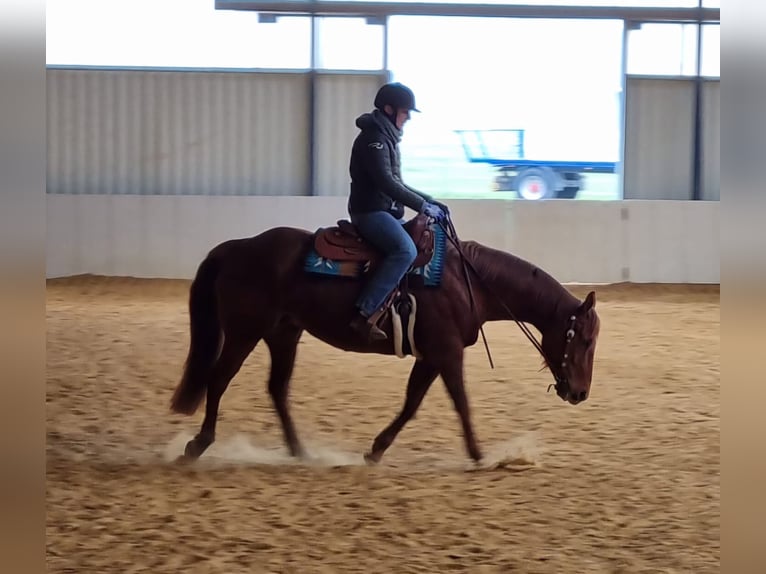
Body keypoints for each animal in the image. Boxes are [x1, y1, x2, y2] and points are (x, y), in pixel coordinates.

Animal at [169, 213, 601, 464]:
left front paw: (376, 450)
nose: (580, 393)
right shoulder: (447, 353)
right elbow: (461, 402)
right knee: (219, 379)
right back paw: (198, 445)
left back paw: (300, 453)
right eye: (583, 340)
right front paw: (480, 455)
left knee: (277, 389)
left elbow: (412, 404)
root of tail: (237, 248)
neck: (468, 281)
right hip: (245, 331)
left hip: (283, 333)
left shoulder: (431, 355)